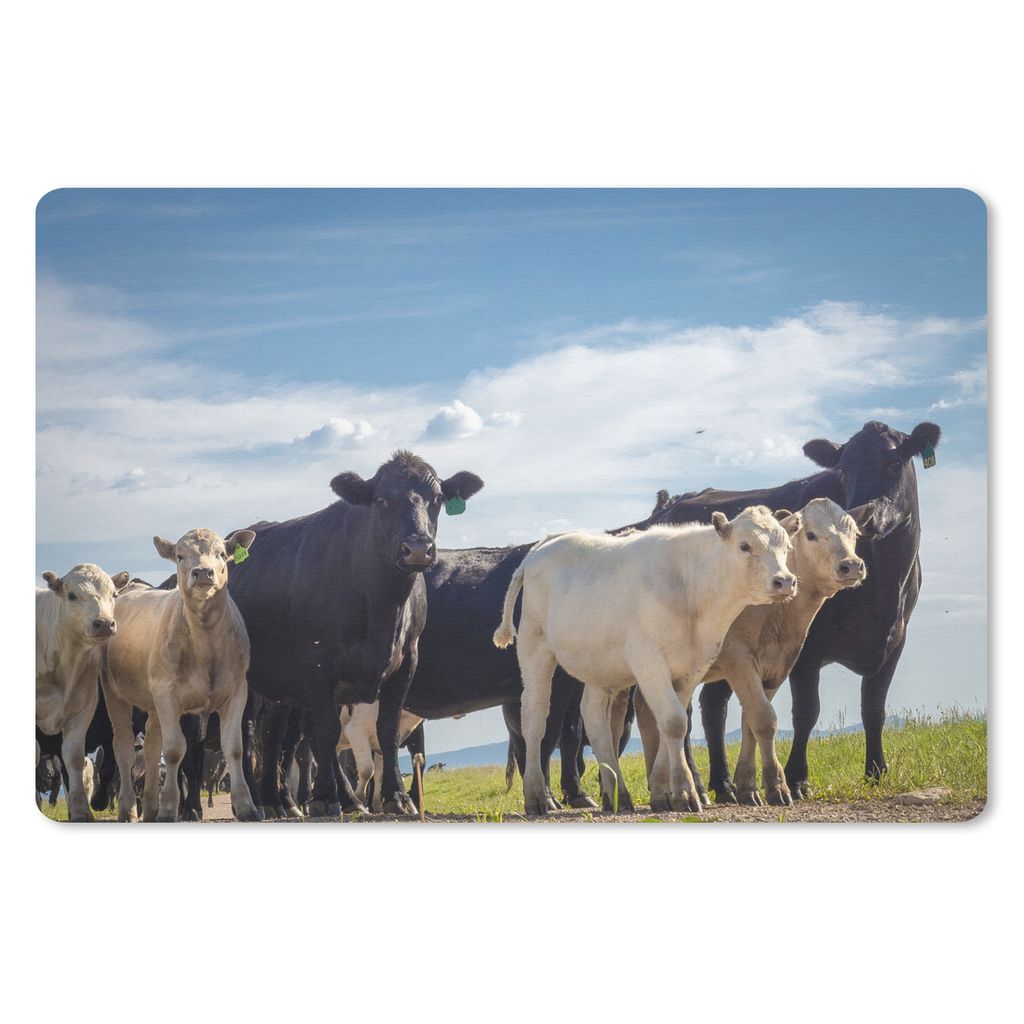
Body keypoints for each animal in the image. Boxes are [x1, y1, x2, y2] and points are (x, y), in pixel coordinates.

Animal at [36, 564, 129, 821]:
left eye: (114, 594)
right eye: (72, 595)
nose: (104, 623)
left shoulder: (81, 708)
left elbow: (74, 758)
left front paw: (80, 810)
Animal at [101, 528, 260, 822]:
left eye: (222, 553)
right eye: (180, 556)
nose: (203, 572)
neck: (206, 642)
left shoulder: (236, 693)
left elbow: (234, 747)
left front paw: (246, 806)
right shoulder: (168, 695)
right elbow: (175, 750)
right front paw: (168, 808)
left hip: (153, 703)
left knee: (151, 747)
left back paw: (150, 808)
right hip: (115, 693)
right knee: (125, 748)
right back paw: (129, 808)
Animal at [227, 451, 483, 818]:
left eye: (436, 499)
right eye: (381, 499)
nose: (418, 549)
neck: (381, 605)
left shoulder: (406, 662)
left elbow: (386, 731)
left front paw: (396, 797)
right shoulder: (317, 663)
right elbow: (326, 732)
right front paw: (324, 798)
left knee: (276, 737)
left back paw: (288, 801)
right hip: (248, 682)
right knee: (250, 736)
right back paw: (258, 803)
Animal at [494, 507, 797, 815]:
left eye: (786, 547)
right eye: (744, 546)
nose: (785, 581)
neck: (691, 590)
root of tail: (545, 544)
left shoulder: (691, 669)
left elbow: (670, 725)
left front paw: (666, 793)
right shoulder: (649, 662)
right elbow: (674, 722)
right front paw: (685, 792)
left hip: (599, 666)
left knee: (594, 718)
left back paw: (616, 794)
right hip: (535, 649)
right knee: (534, 720)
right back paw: (536, 797)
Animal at [634, 498, 872, 805]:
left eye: (855, 533)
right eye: (811, 535)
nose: (852, 565)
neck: (775, 616)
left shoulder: (776, 666)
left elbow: (751, 721)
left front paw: (748, 786)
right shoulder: (739, 660)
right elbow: (763, 718)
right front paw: (777, 786)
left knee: (645, 708)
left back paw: (659, 786)